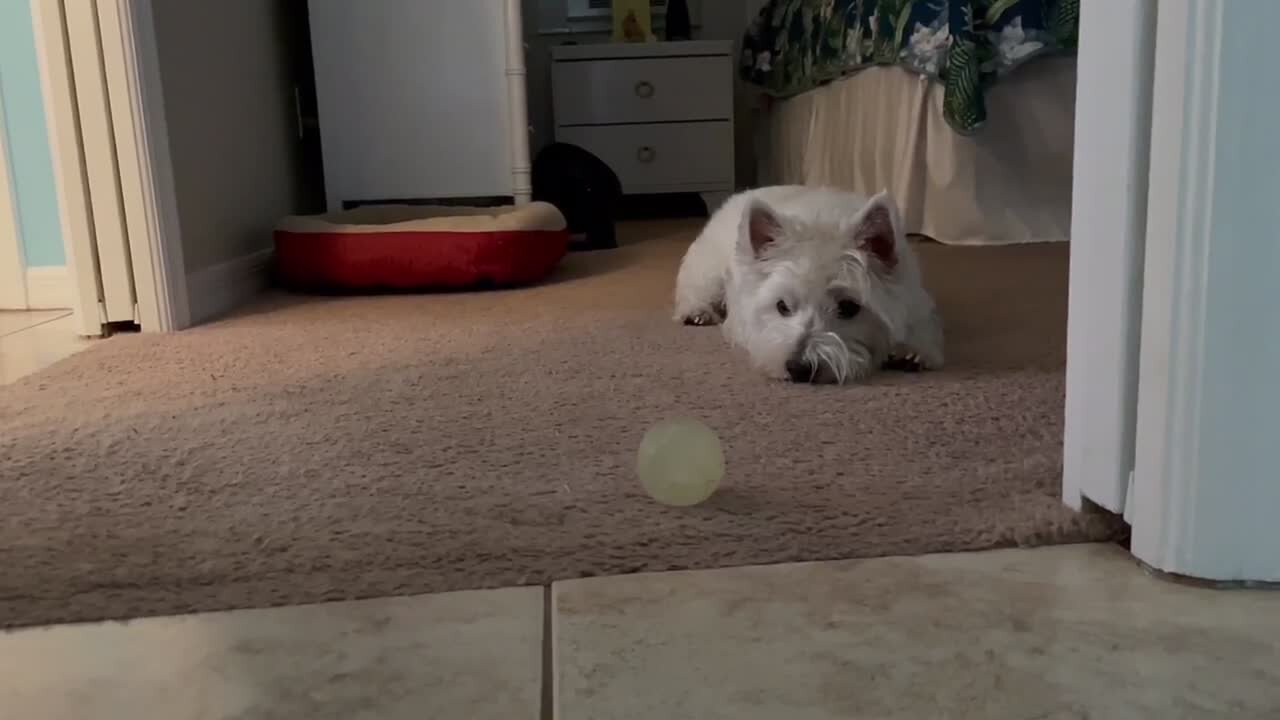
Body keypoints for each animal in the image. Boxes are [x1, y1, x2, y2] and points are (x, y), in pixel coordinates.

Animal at [675, 184, 947, 381]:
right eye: (782, 306)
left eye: (848, 307)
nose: (798, 368)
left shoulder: (914, 295)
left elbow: (923, 325)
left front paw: (912, 350)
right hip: (707, 269)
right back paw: (697, 312)